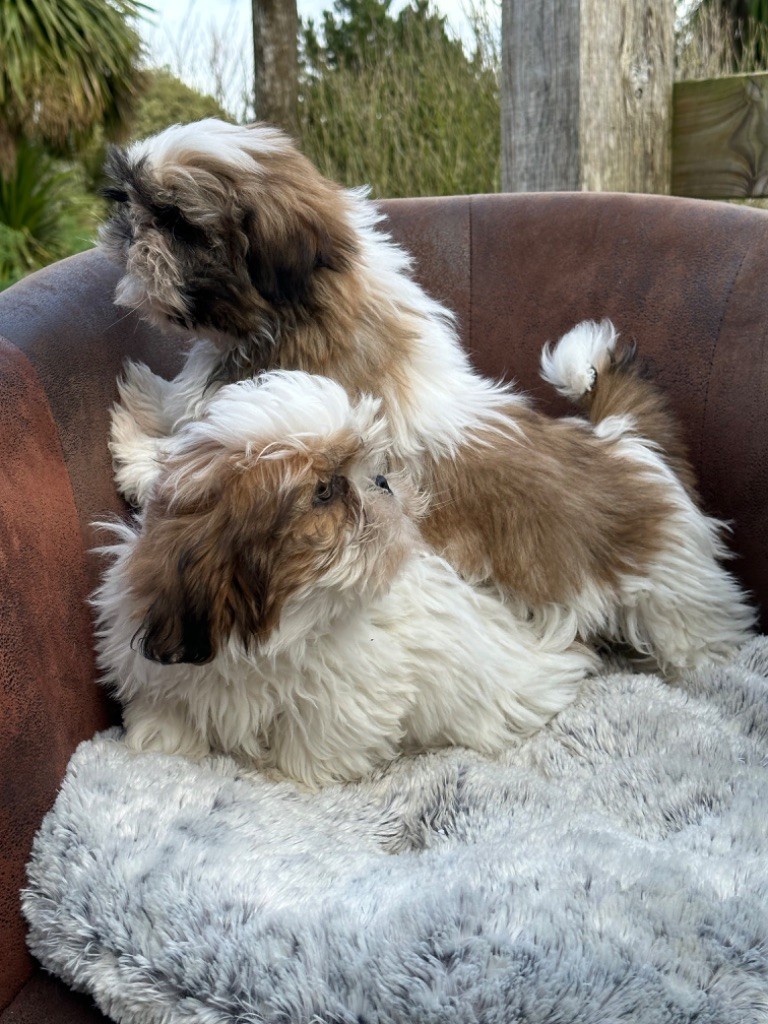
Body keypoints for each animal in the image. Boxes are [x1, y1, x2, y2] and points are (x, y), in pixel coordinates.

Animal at [93, 371, 598, 789]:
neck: (278, 628)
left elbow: (312, 749)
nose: (383, 480)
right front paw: (161, 742)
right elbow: (168, 705)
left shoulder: (342, 702)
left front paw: (283, 776)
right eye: (324, 491)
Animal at [99, 118, 756, 672]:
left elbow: (179, 454)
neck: (306, 316)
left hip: (672, 597)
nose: (124, 223)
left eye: (178, 223)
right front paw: (146, 401)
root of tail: (625, 444)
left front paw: (136, 441)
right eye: (133, 198)